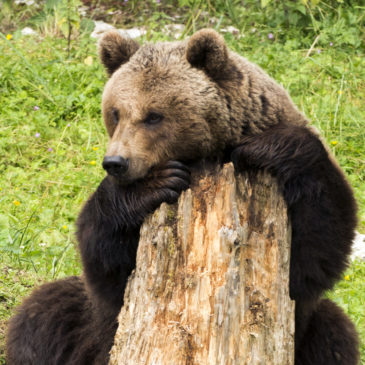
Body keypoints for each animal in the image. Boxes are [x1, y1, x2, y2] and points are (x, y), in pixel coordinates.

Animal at [6, 29, 358, 364]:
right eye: (116, 112)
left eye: (153, 115)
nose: (116, 162)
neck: (209, 153)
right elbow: (103, 257)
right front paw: (156, 183)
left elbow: (321, 245)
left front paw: (264, 149)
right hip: (89, 332)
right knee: (45, 312)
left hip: (308, 334)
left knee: (334, 332)